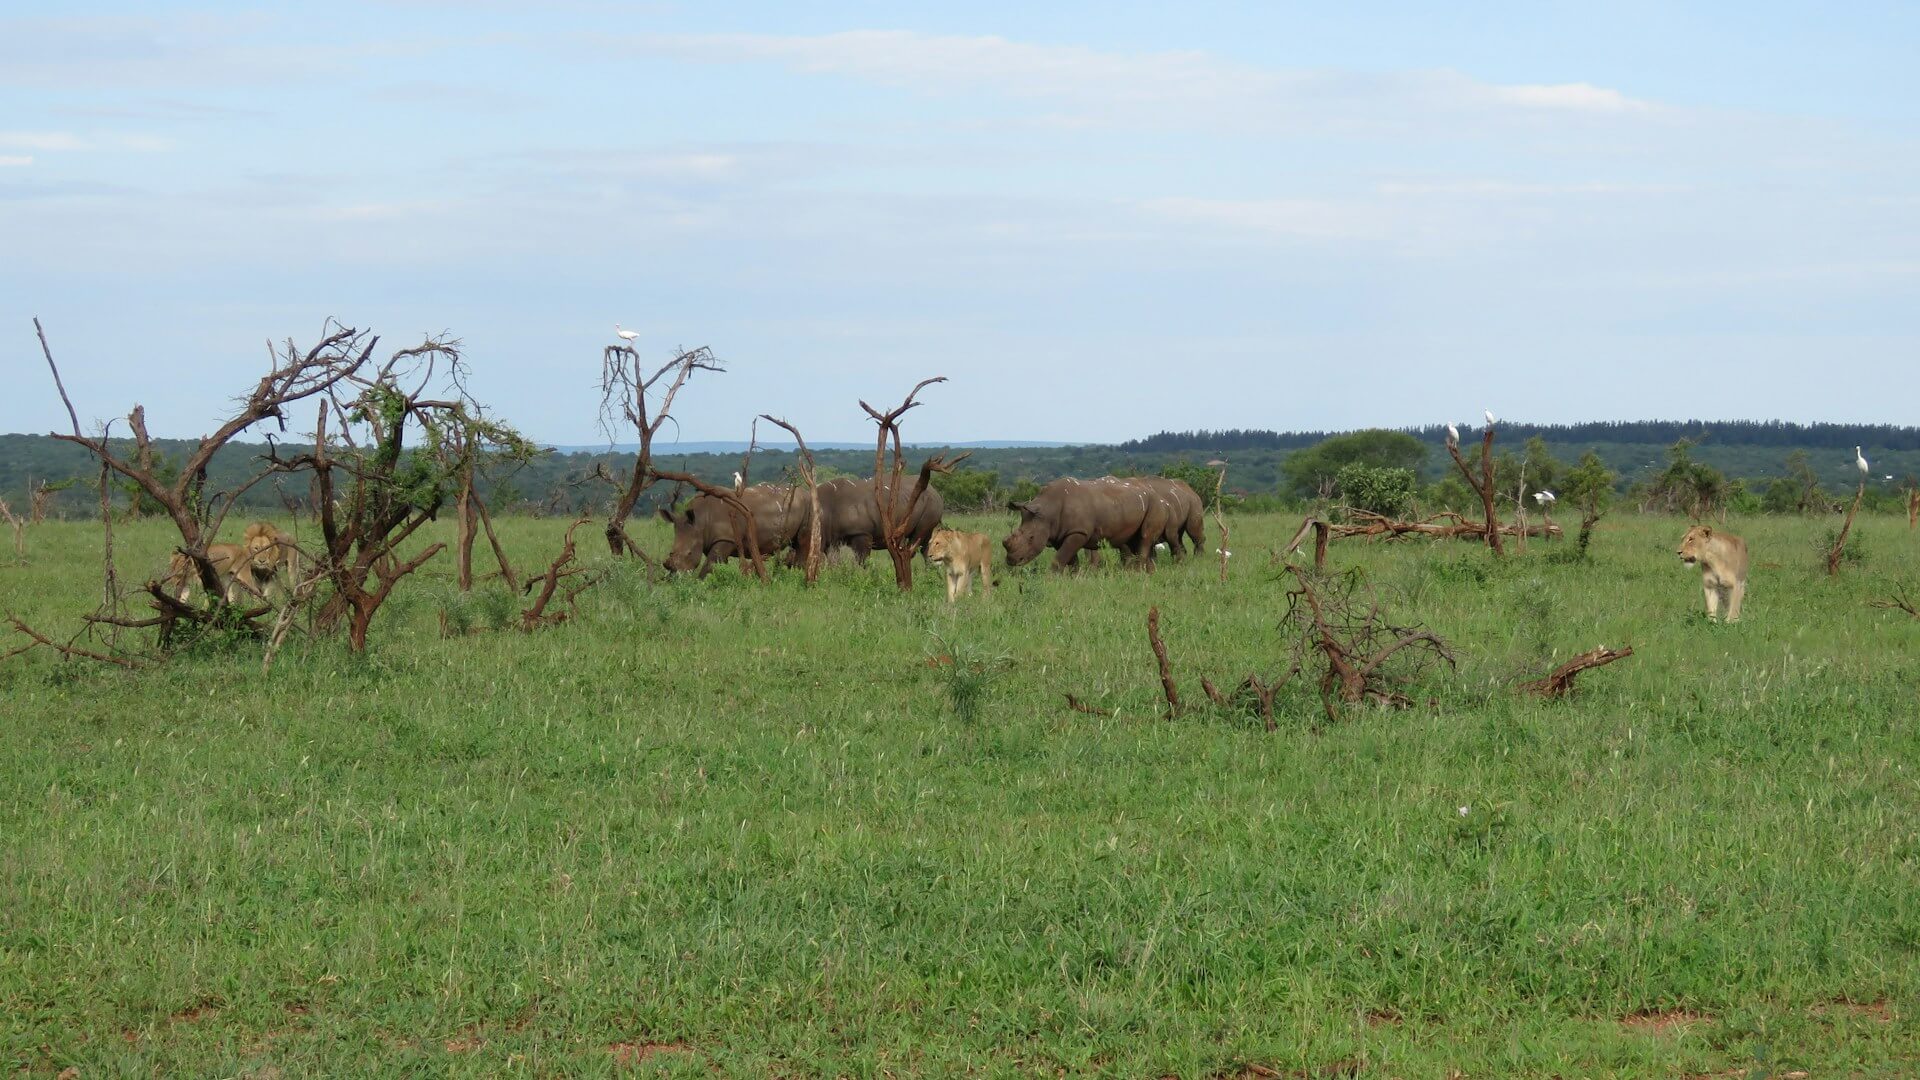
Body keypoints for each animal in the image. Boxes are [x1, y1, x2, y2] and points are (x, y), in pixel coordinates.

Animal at [658, 484, 803, 576]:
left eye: (689, 553)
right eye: (670, 553)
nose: (675, 577)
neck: (700, 521)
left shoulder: (726, 538)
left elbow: (708, 565)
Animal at [1002, 476, 1170, 571]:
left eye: (1031, 538)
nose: (1011, 561)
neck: (1048, 510)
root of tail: (1159, 496)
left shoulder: (1078, 532)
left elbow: (1060, 558)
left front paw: (1051, 578)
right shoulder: (1059, 534)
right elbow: (1070, 560)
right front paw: (1072, 578)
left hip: (1155, 505)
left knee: (1144, 539)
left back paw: (1139, 575)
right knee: (1133, 542)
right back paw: (1145, 575)